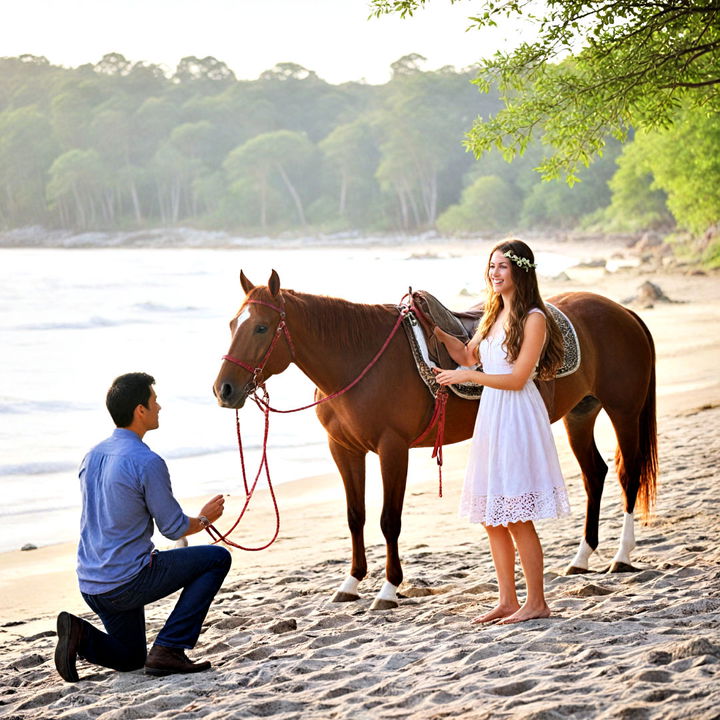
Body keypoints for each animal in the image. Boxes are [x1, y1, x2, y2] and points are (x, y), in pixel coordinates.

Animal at [211, 270, 656, 608]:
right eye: (232, 325)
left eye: (262, 327)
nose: (224, 390)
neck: (360, 359)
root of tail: (621, 311)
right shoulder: (345, 451)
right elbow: (355, 517)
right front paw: (351, 583)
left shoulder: (392, 450)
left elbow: (389, 520)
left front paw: (389, 589)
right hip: (581, 415)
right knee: (594, 475)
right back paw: (582, 557)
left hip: (622, 412)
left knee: (628, 475)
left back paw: (620, 556)